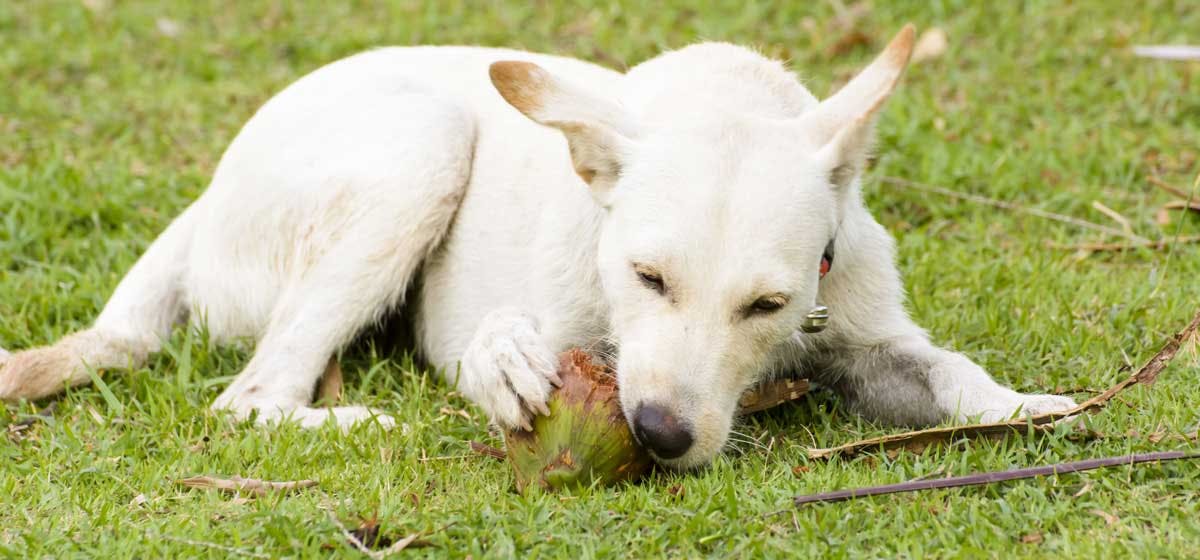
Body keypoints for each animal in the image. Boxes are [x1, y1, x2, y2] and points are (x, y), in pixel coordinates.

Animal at [2, 24, 1080, 467]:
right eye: (646, 275)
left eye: (769, 305)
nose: (660, 434)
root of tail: (206, 198)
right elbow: (502, 343)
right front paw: (504, 363)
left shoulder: (864, 328)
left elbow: (946, 369)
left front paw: (1021, 406)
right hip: (422, 146)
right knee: (250, 398)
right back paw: (354, 420)